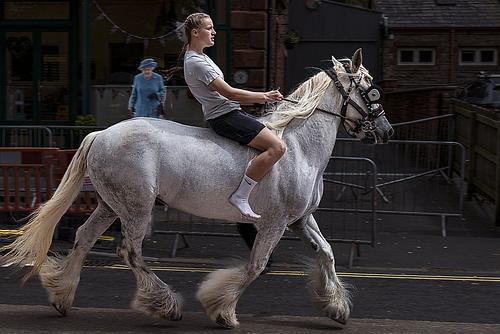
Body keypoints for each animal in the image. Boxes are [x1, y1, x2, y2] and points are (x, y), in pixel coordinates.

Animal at [0, 49, 390, 328]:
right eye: (370, 89)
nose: (386, 132)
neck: (298, 147)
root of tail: (101, 134)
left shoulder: (301, 219)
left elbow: (327, 253)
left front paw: (336, 307)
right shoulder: (275, 223)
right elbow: (256, 265)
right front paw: (222, 311)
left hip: (111, 205)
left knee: (83, 237)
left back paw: (61, 295)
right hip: (137, 208)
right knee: (130, 252)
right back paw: (165, 305)